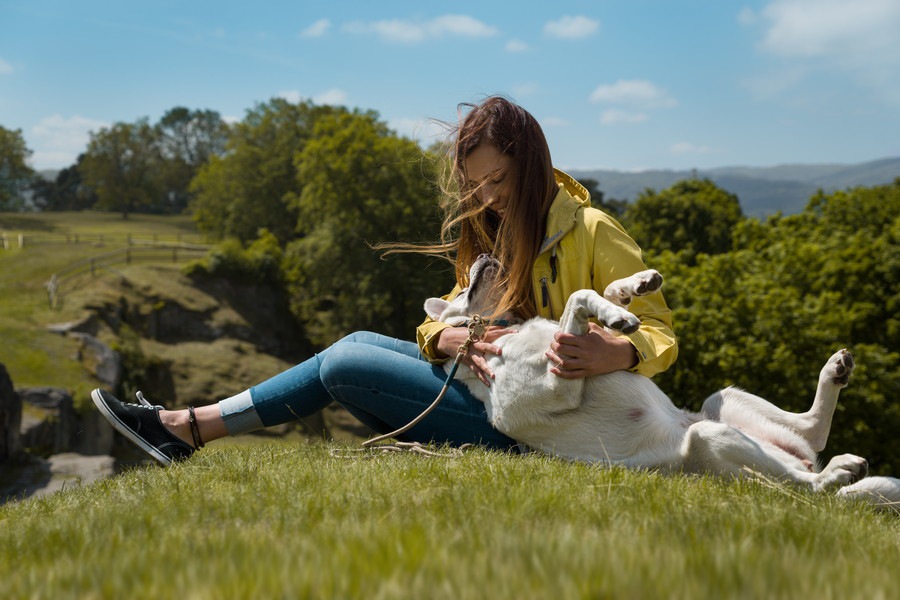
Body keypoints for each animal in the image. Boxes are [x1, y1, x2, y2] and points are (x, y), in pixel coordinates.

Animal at [426, 255, 900, 508]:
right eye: (463, 290)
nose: (482, 257)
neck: (500, 331)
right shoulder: (559, 383)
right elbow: (579, 299)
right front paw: (618, 310)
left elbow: (592, 296)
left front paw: (630, 291)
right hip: (710, 438)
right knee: (810, 486)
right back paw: (834, 473)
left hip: (723, 402)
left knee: (812, 432)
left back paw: (835, 373)